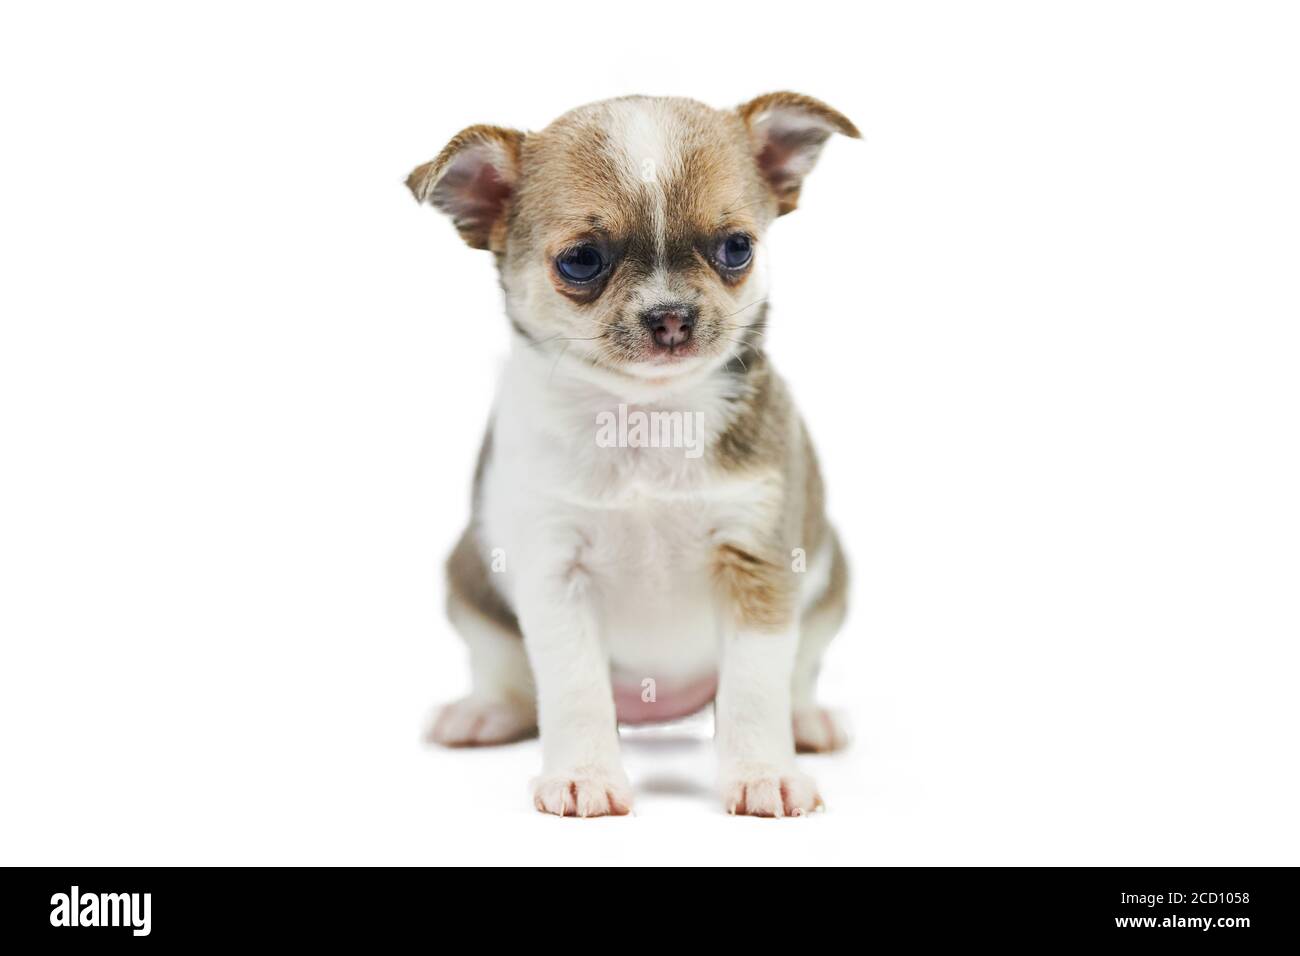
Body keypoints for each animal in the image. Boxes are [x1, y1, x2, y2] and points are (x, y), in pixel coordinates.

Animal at [410, 93, 857, 816]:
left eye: (736, 249)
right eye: (582, 261)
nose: (670, 316)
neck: (648, 424)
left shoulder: (759, 565)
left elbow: (754, 687)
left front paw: (762, 771)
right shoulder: (555, 572)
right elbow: (574, 687)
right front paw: (585, 775)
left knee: (790, 676)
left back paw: (805, 721)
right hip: (468, 586)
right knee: (511, 677)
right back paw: (485, 712)